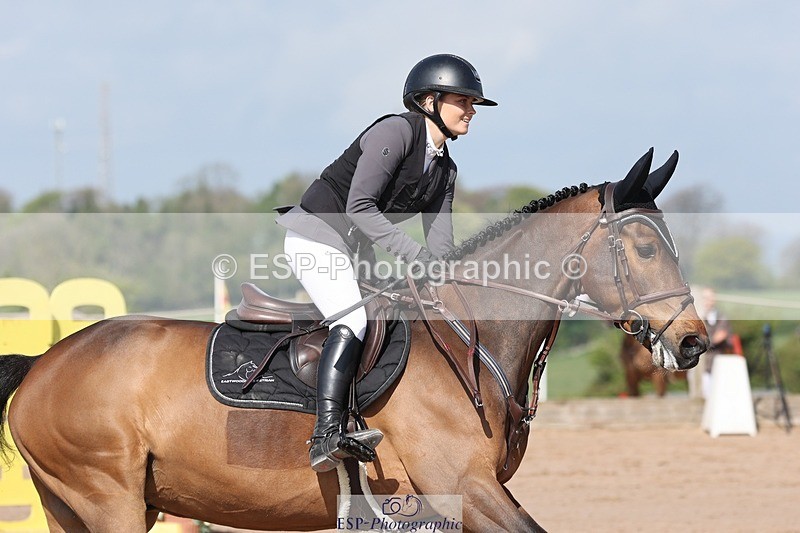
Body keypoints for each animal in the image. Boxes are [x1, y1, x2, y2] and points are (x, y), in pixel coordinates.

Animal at [0, 149, 708, 532]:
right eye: (646, 248)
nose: (694, 342)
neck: (474, 339)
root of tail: (44, 361)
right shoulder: (463, 486)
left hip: (79, 505)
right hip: (108, 498)